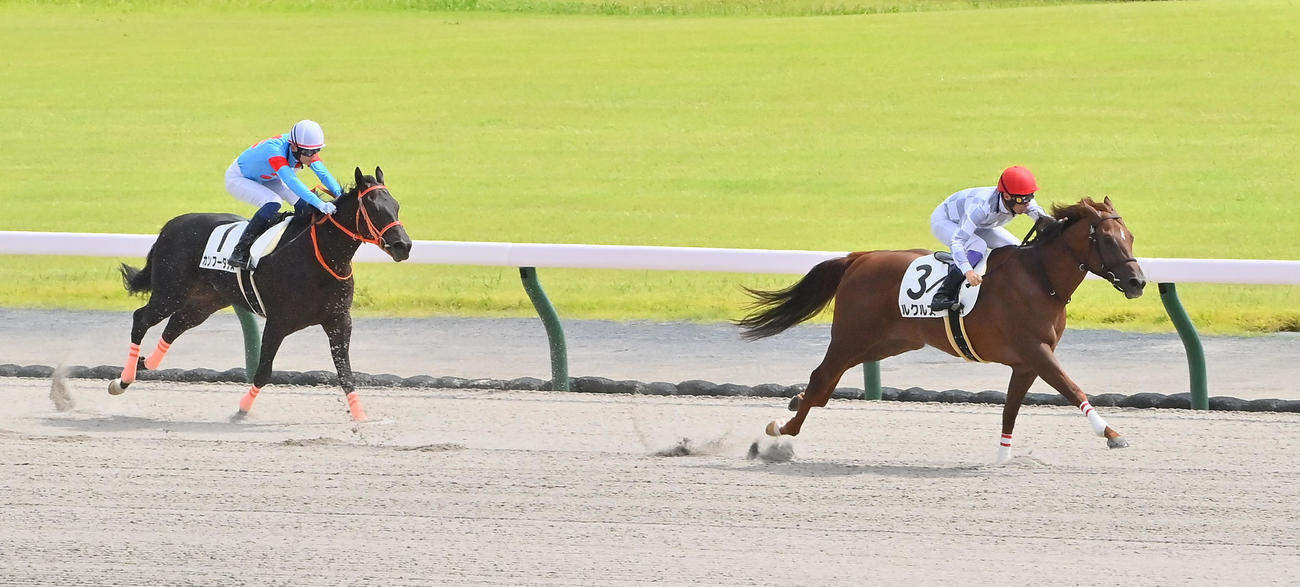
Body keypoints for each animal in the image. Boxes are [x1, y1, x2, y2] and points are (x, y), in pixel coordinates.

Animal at [110, 167, 412, 422]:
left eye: (396, 206)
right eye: (375, 209)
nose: (404, 246)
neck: (320, 256)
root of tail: (170, 225)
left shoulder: (339, 320)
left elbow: (345, 372)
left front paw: (361, 417)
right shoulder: (278, 322)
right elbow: (264, 369)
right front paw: (242, 410)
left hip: (204, 302)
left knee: (174, 327)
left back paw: (143, 364)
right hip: (170, 293)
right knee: (141, 319)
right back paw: (123, 379)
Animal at [736, 197, 1146, 463]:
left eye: (1130, 237)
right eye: (1107, 239)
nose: (1138, 282)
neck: (1040, 279)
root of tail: (859, 258)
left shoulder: (1026, 363)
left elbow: (1010, 408)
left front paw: (1002, 455)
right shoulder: (1036, 352)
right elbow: (1073, 388)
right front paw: (1112, 435)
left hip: (887, 343)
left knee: (821, 387)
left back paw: (794, 402)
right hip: (851, 338)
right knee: (821, 379)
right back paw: (780, 429)